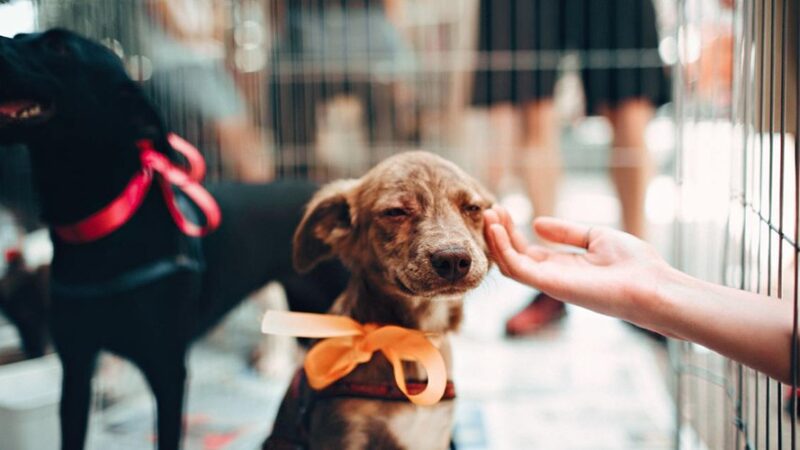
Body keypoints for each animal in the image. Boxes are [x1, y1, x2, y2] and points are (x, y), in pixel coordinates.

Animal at [266, 152, 494, 450]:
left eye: (473, 208)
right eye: (395, 212)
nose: (453, 259)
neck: (410, 341)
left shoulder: (436, 435)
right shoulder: (343, 433)